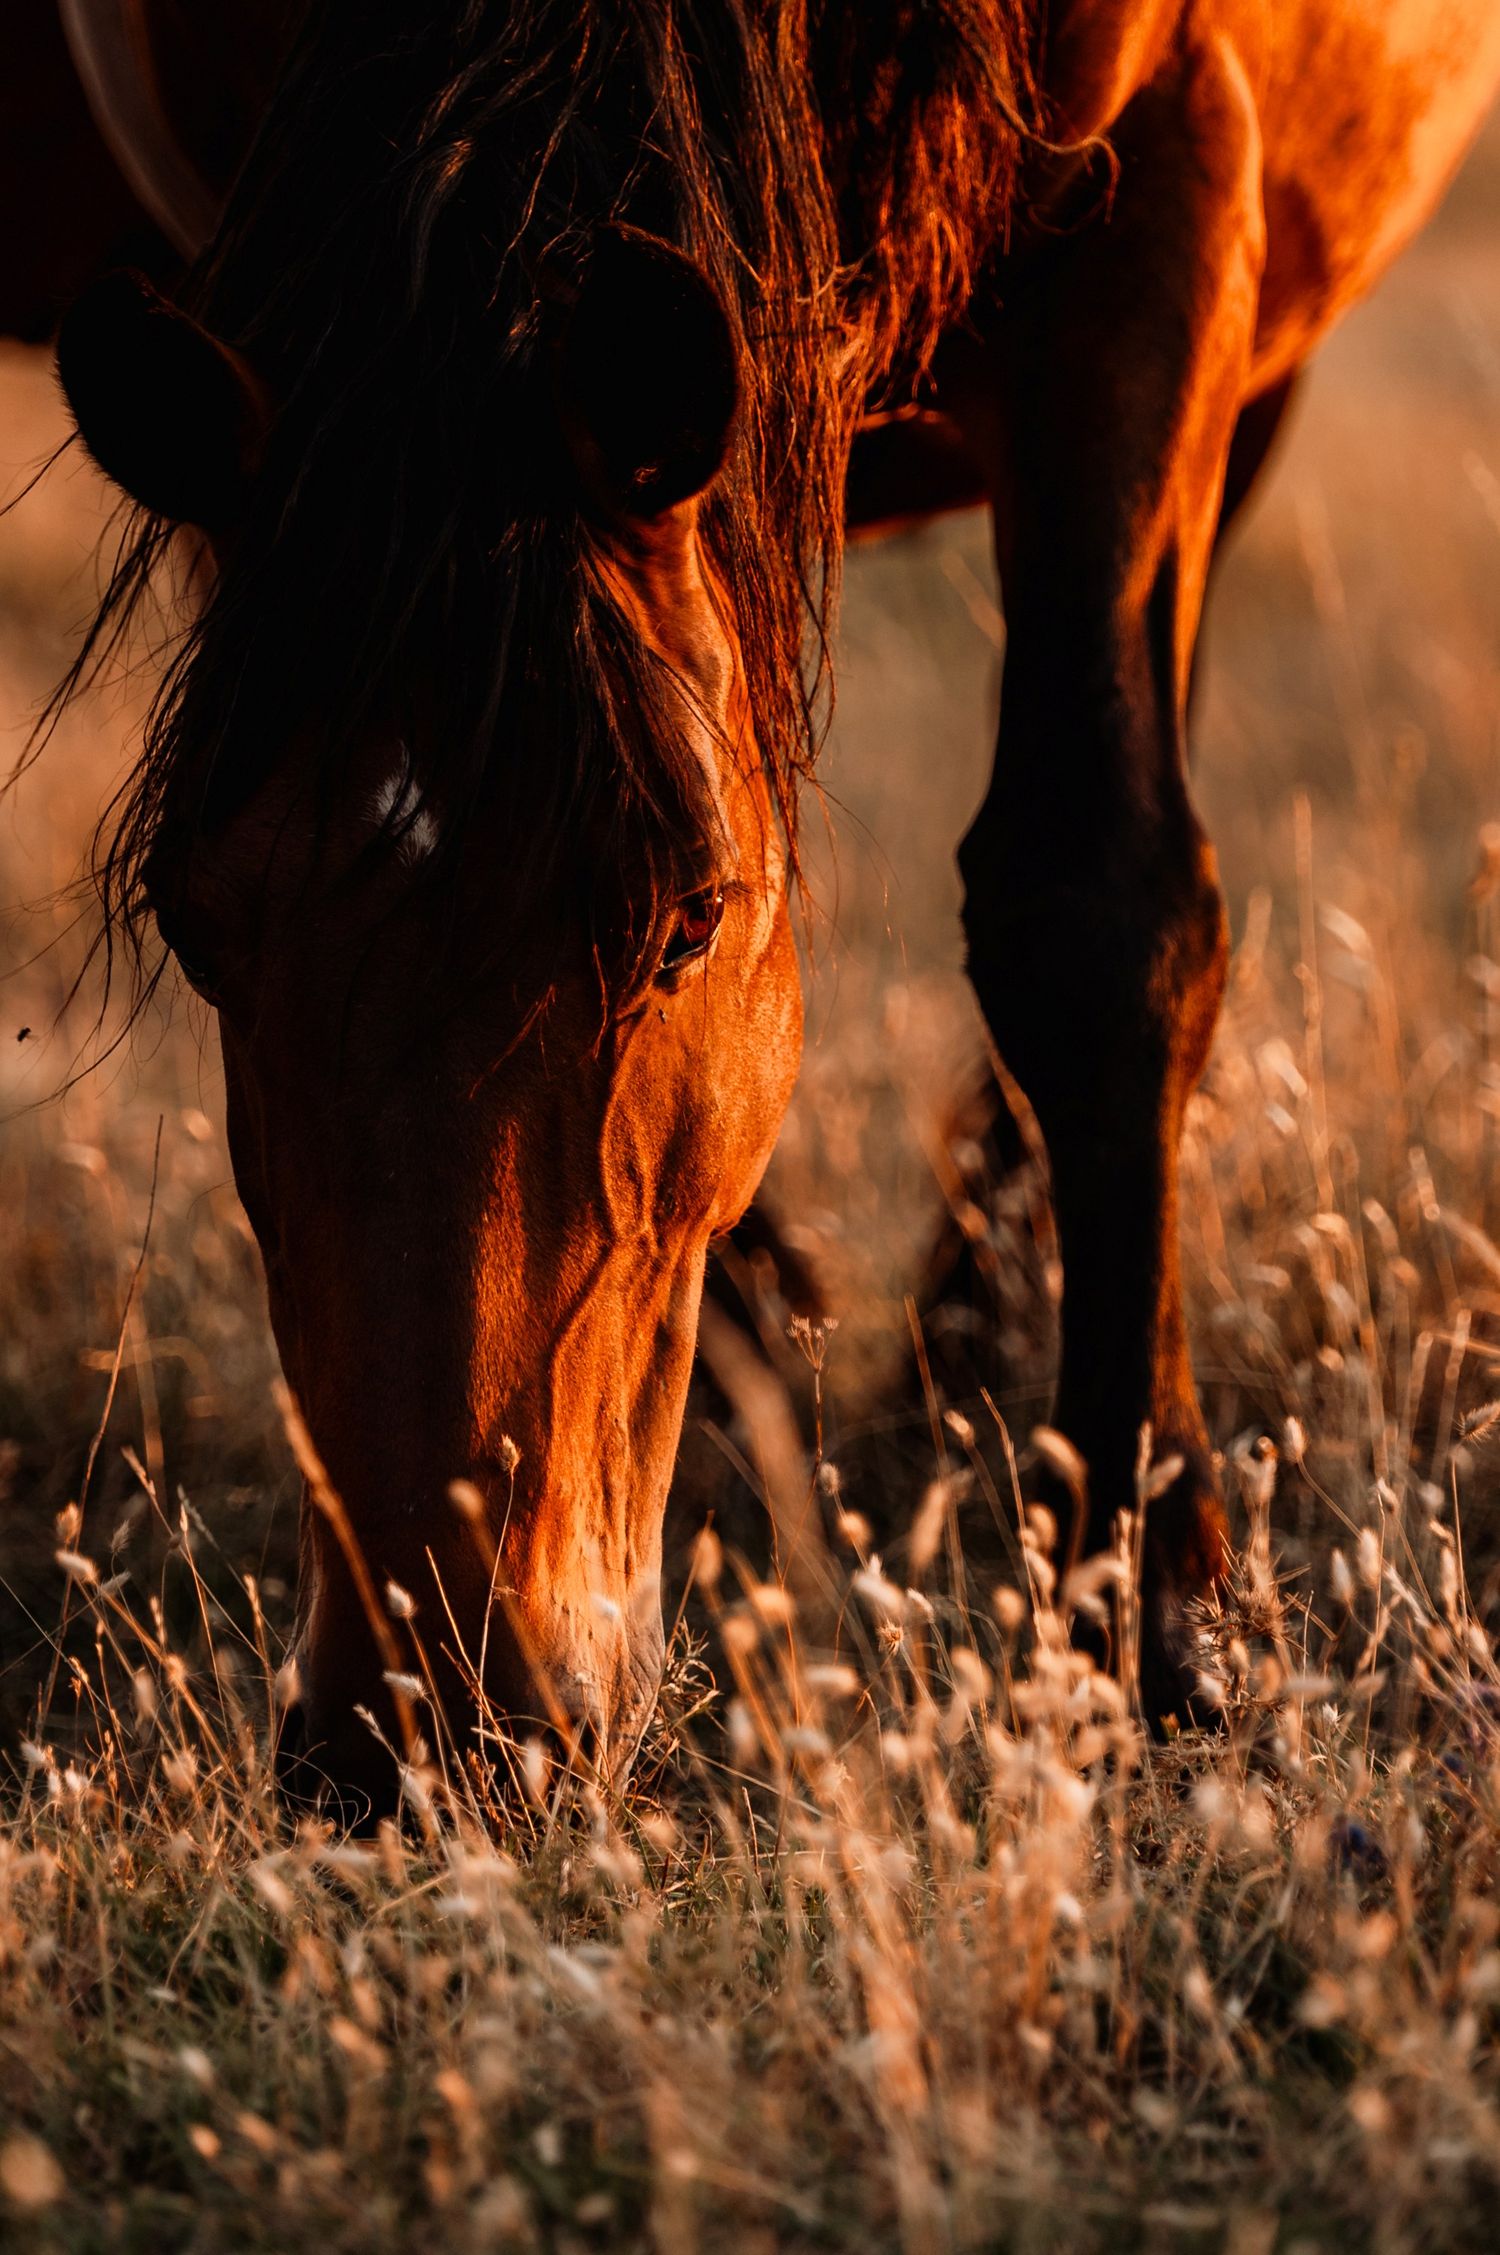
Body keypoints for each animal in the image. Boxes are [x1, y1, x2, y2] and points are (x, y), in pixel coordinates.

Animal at [12, 0, 1500, 1810]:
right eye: (191, 925)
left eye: (689, 920)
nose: (420, 1729)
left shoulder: (1164, 189)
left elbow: (1096, 910)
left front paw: (1162, 1632)